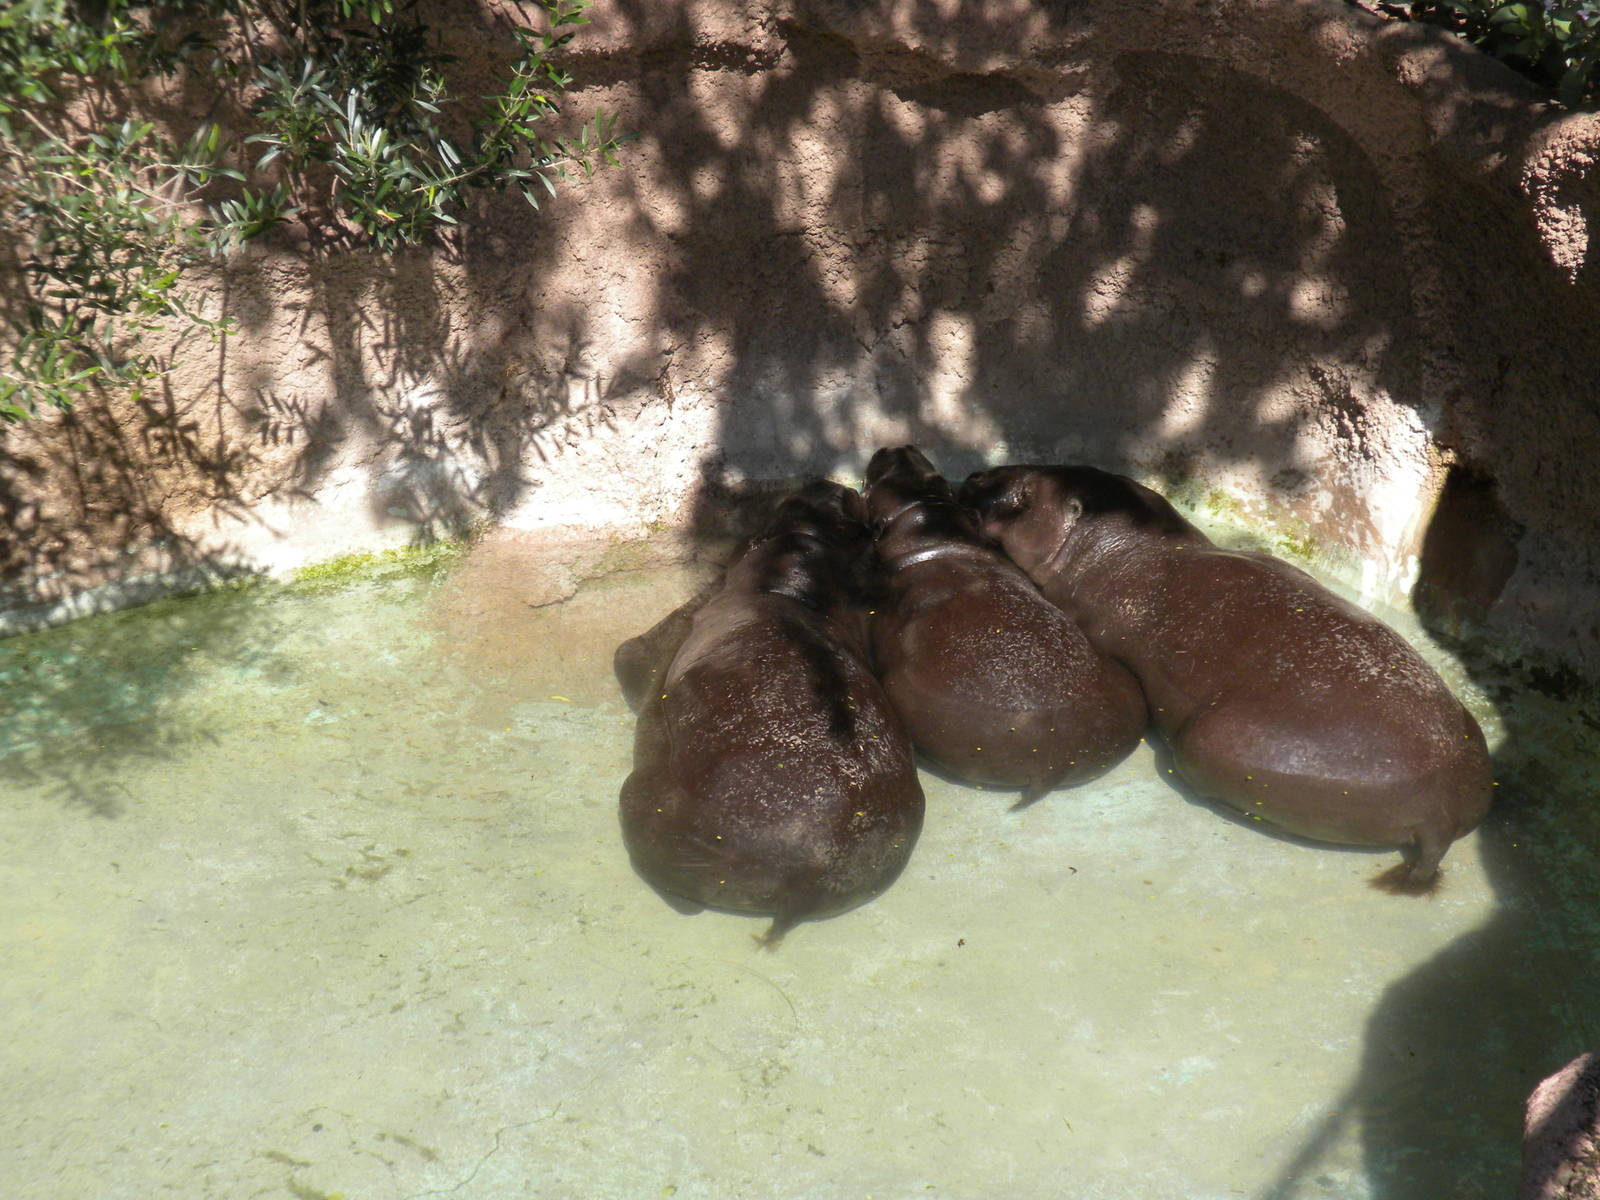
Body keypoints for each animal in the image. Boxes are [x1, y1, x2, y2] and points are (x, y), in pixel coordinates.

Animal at [615, 480, 925, 943]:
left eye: (784, 506)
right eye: (851, 514)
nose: (830, 484)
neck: (791, 583)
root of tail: (812, 878)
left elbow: (632, 657)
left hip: (644, 800)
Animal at [959, 464, 1494, 892]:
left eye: (1024, 495)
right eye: (1043, 464)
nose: (974, 474)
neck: (1129, 548)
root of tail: (1442, 810)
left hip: (1206, 741)